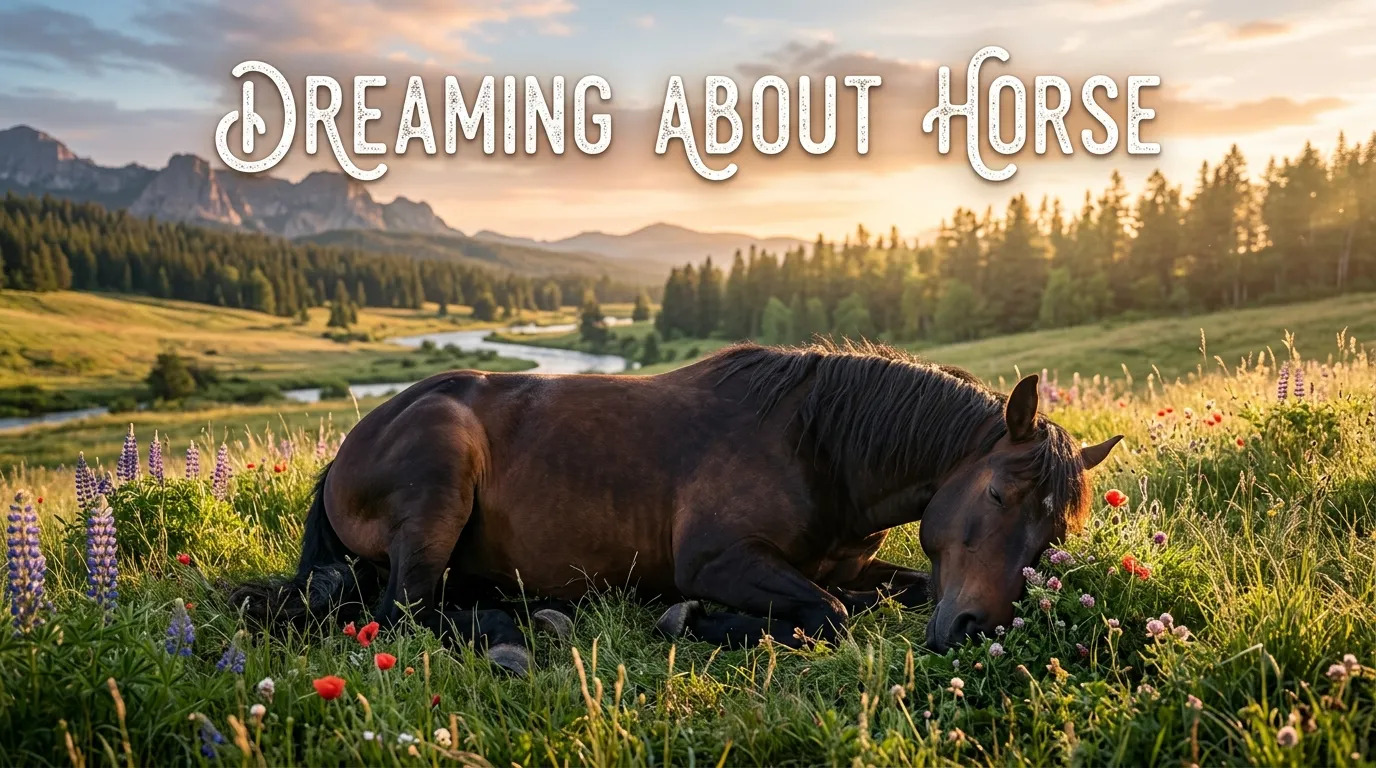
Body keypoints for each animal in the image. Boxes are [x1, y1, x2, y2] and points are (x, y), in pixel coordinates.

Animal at [233, 341, 1121, 673]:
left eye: (1052, 535)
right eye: (999, 494)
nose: (977, 630)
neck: (815, 447)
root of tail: (352, 442)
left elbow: (876, 591)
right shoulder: (720, 560)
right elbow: (829, 612)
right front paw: (698, 620)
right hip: (439, 477)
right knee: (406, 610)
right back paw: (521, 630)